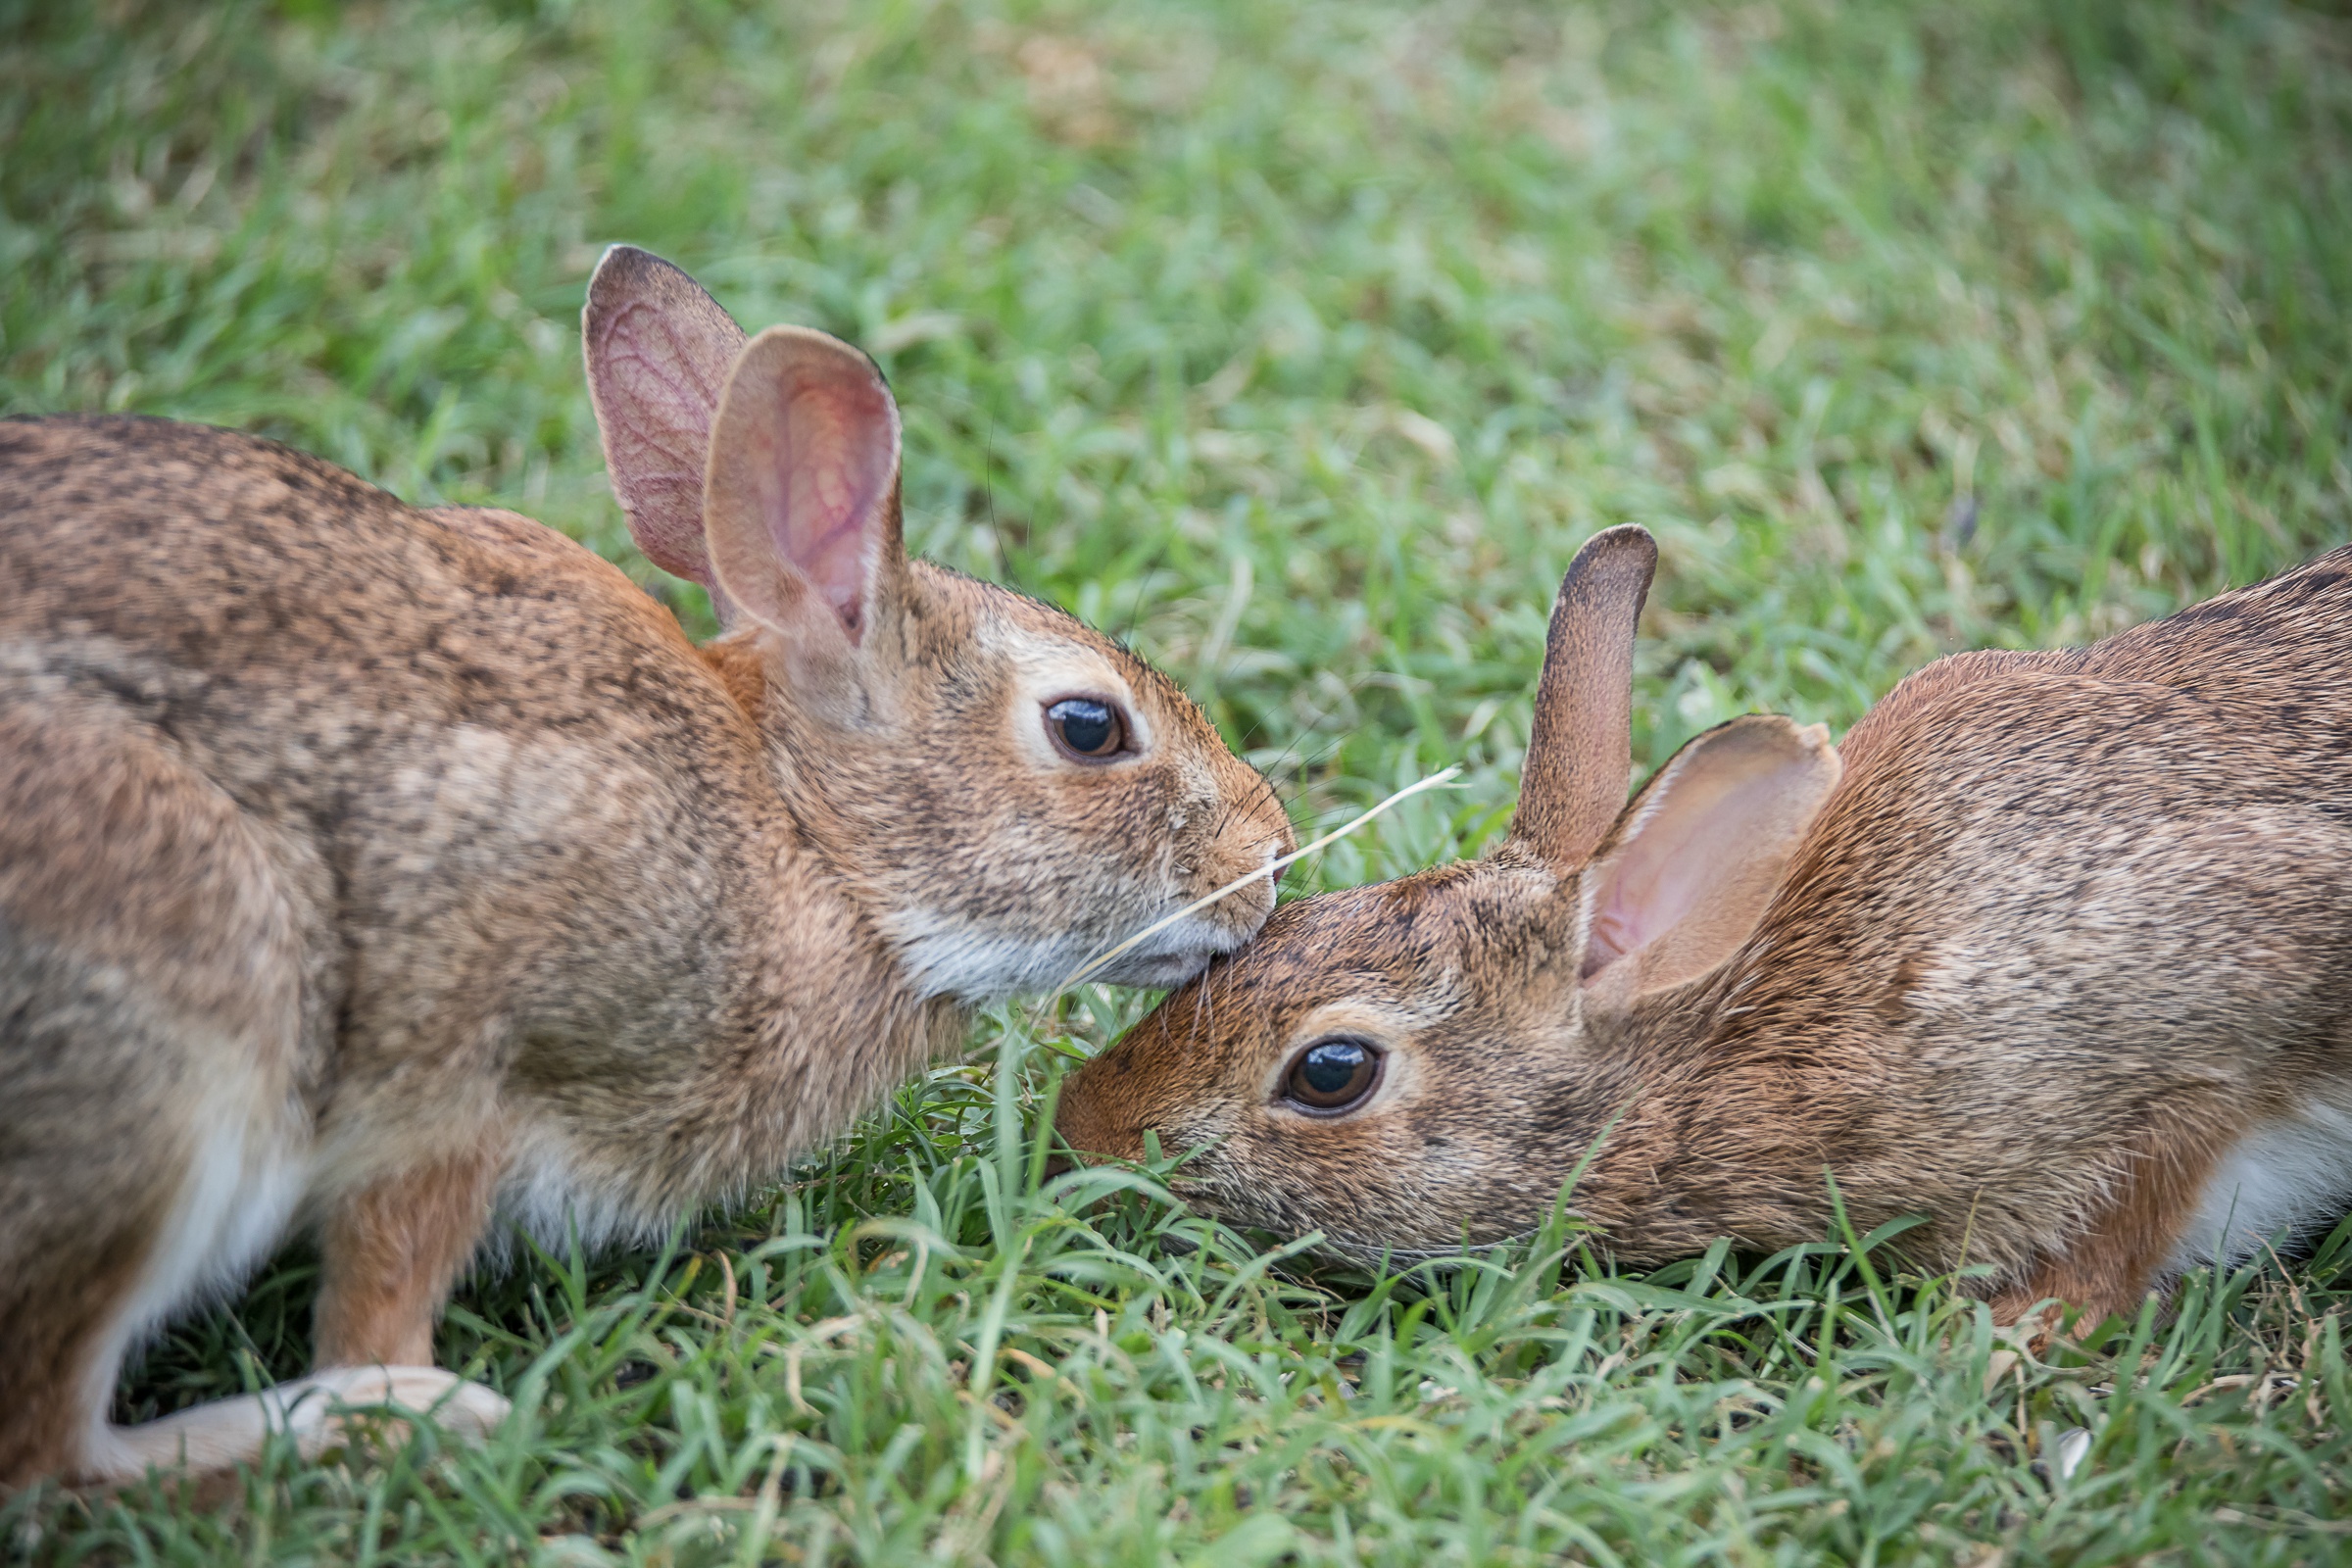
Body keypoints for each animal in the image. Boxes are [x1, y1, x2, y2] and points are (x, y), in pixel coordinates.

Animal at [0, 251, 1298, 1494]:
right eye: (1088, 727)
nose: (1272, 857)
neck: (806, 837)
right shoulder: (454, 1083)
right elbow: (384, 1284)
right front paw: (403, 1390)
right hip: (191, 1034)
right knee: (53, 1453)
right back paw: (390, 1425)